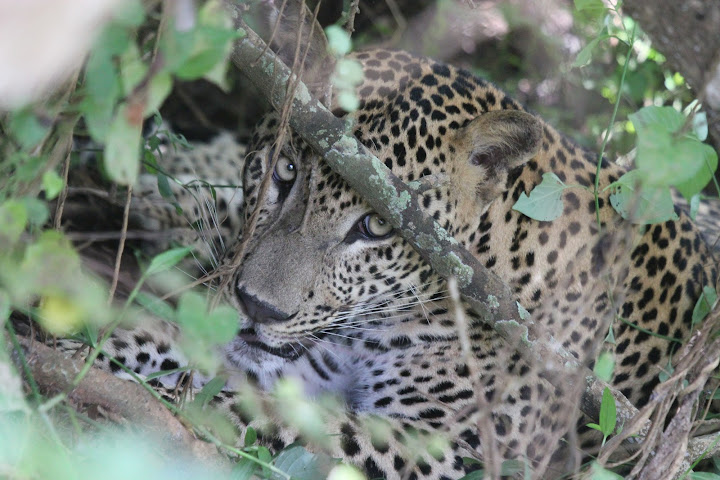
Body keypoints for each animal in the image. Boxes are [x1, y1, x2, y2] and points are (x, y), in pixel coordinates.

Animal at [57, 46, 720, 480]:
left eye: (375, 227)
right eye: (286, 171)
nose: (254, 305)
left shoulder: (447, 450)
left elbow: (255, 411)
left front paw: (139, 397)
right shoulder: (312, 360)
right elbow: (175, 342)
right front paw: (79, 350)